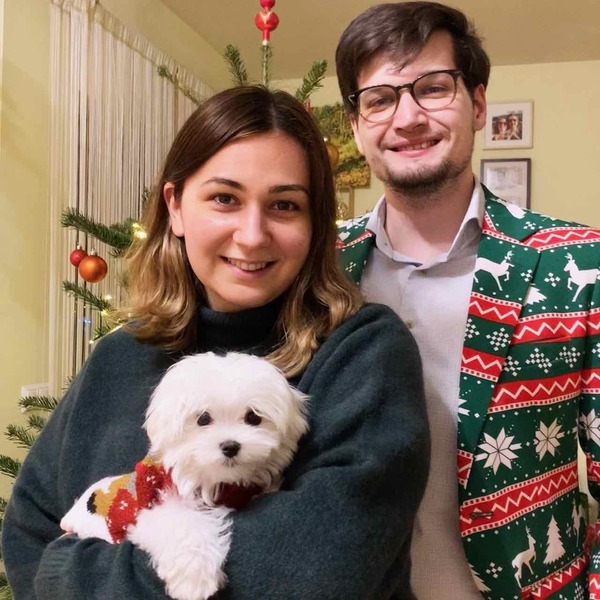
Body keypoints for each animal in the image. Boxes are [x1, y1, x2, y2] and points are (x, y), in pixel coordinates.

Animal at [61, 351, 309, 600]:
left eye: (253, 417)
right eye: (203, 419)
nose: (230, 446)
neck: (216, 482)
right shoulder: (152, 510)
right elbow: (183, 525)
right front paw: (194, 578)